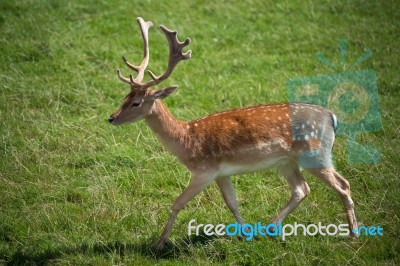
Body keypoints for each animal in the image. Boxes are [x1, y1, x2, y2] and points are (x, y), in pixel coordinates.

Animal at [108, 17, 358, 249]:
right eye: (125, 97)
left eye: (136, 103)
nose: (111, 117)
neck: (186, 139)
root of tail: (332, 117)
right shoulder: (221, 173)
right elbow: (232, 202)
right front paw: (245, 233)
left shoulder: (205, 170)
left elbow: (178, 203)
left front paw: (159, 244)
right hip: (287, 161)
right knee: (301, 189)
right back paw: (269, 227)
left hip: (315, 154)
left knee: (342, 184)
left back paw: (353, 234)